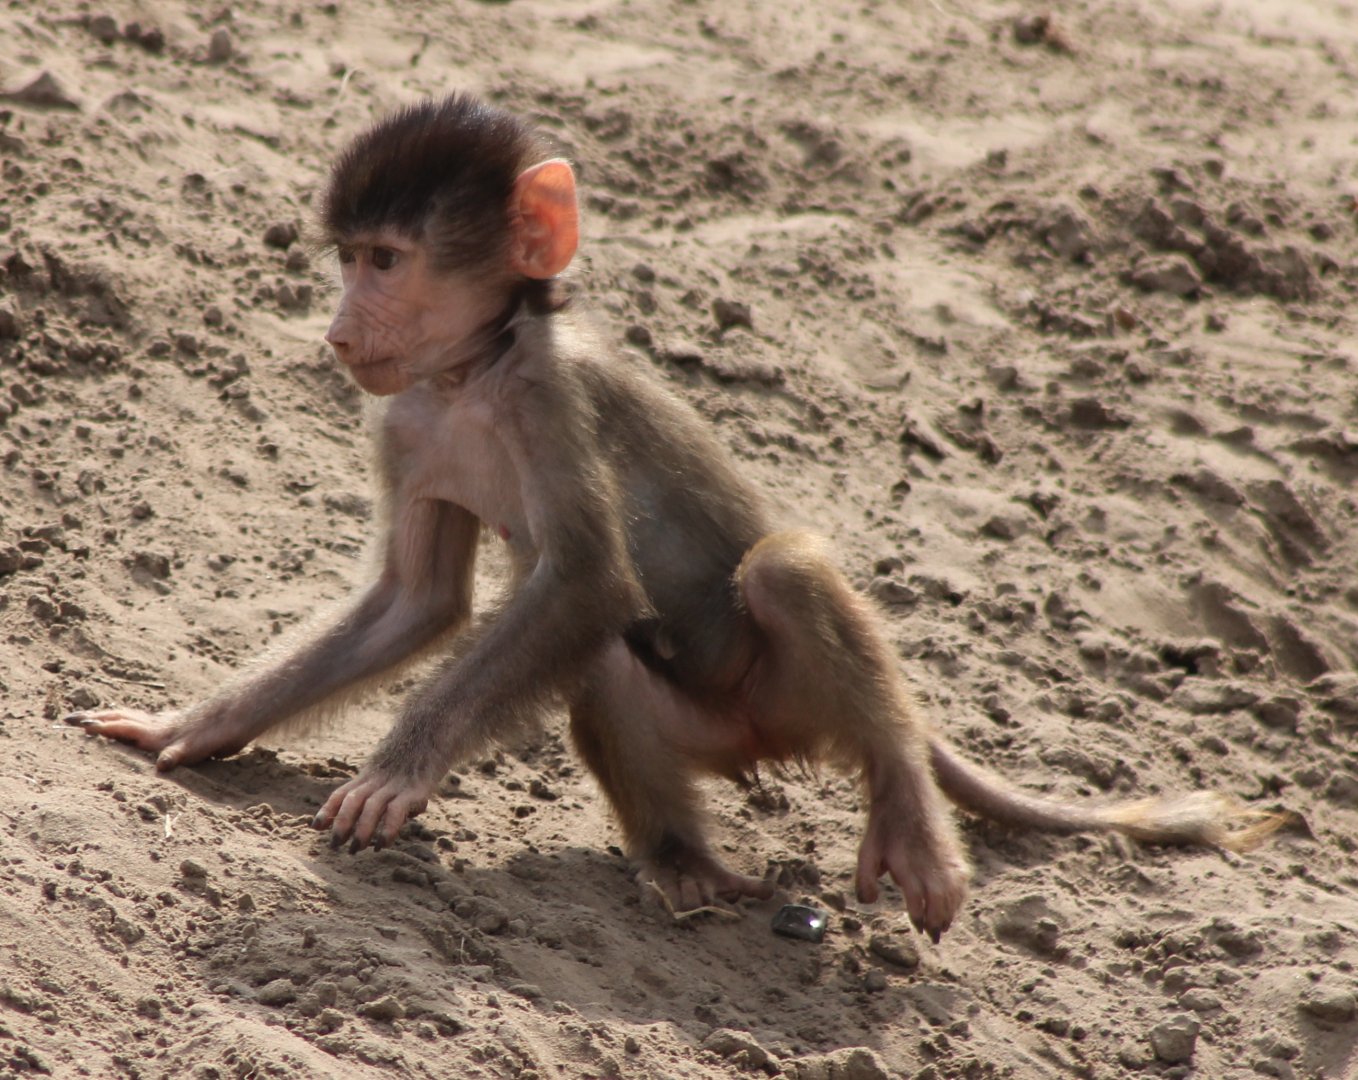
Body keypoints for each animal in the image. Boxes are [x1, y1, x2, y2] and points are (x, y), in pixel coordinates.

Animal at [67, 93, 1282, 942]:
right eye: (348, 259)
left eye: (384, 260)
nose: (336, 330)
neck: (471, 374)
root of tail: (770, 742)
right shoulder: (404, 420)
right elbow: (420, 604)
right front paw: (192, 728)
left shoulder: (550, 398)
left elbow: (589, 580)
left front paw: (393, 776)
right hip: (718, 728)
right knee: (605, 660)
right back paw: (682, 862)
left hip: (794, 691)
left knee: (781, 573)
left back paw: (906, 810)